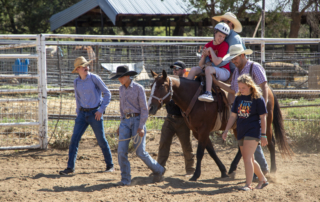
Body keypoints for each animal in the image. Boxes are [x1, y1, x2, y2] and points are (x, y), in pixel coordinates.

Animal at [149, 70, 292, 181]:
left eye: (161, 86)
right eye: (151, 86)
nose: (150, 107)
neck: (195, 98)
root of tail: (267, 89)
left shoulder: (204, 129)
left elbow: (200, 152)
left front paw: (196, 175)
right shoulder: (197, 131)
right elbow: (211, 151)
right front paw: (223, 171)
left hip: (265, 124)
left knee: (271, 143)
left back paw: (272, 170)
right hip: (238, 127)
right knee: (242, 147)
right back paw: (233, 168)